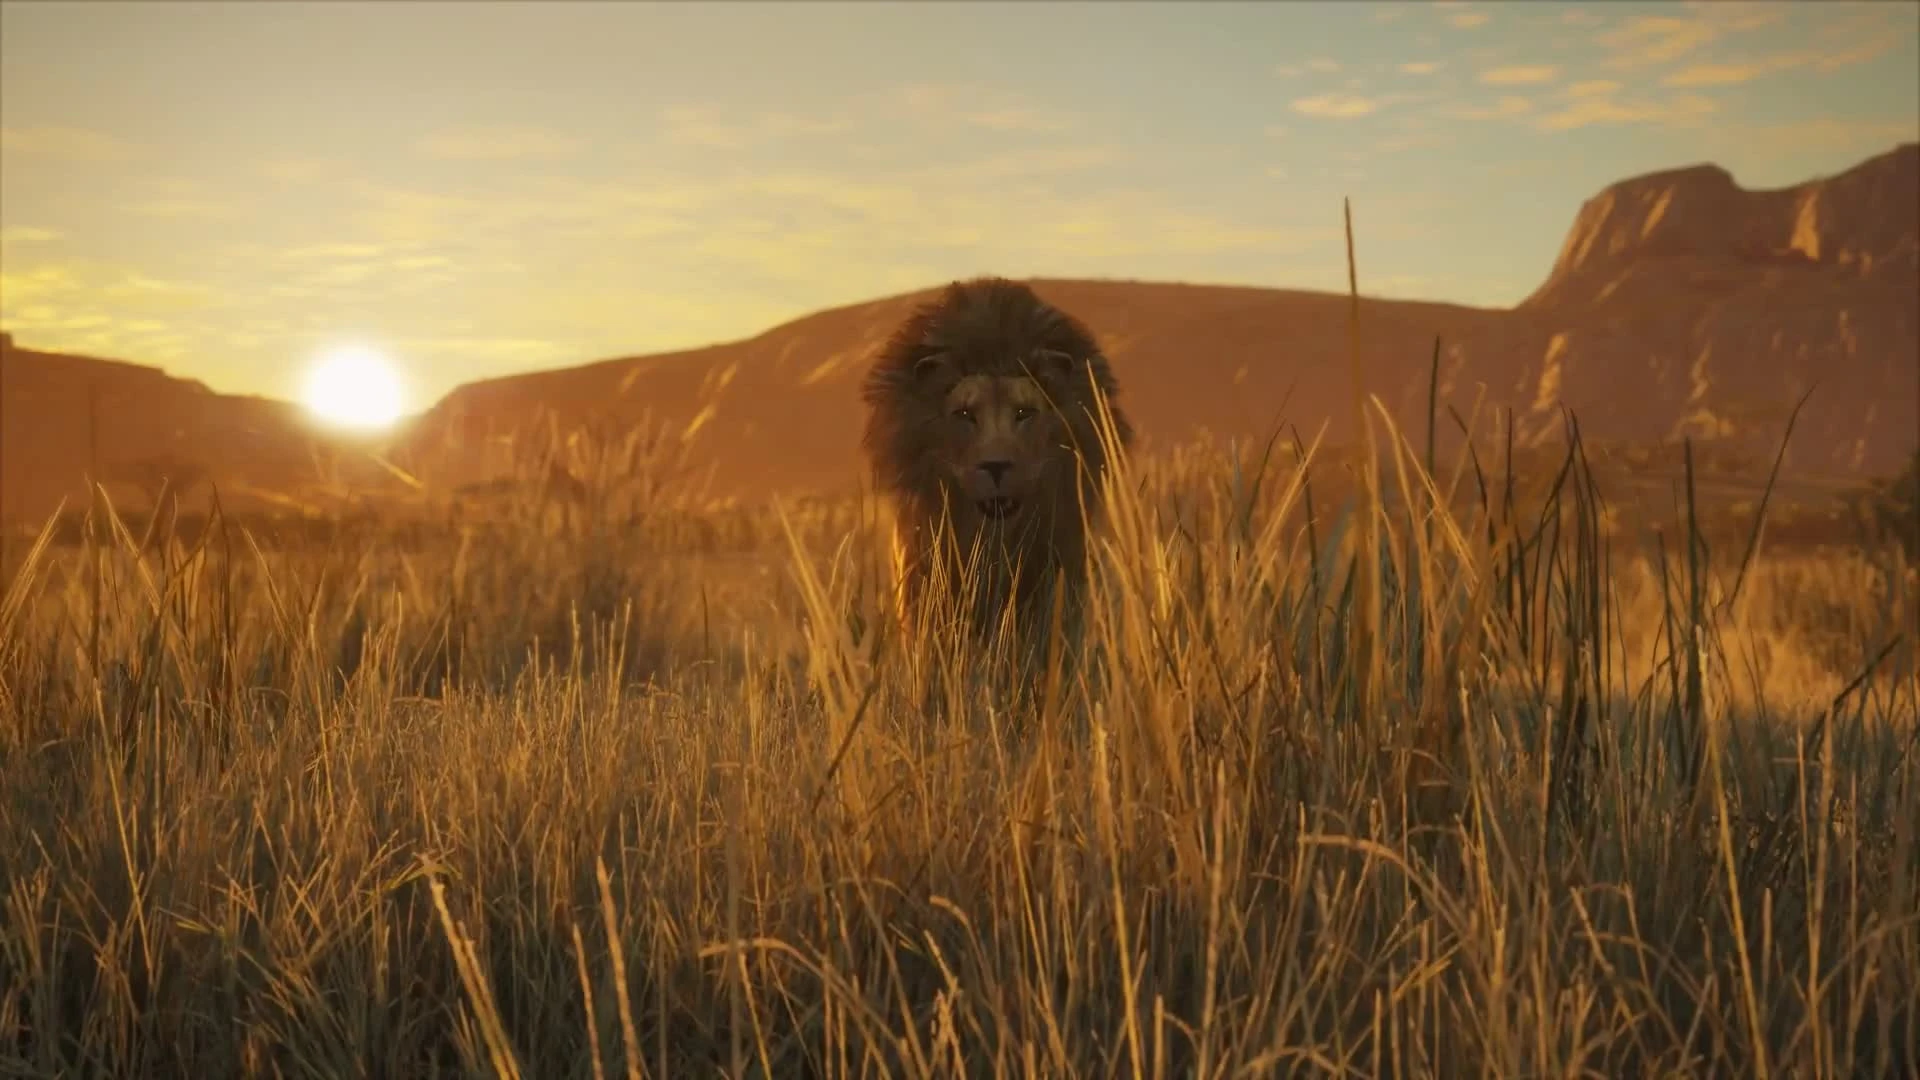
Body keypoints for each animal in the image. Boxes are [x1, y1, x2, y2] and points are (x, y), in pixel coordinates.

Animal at [859, 277, 1133, 656]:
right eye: (964, 414)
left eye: (1024, 413)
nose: (996, 466)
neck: (995, 540)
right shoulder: (922, 580)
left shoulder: (1058, 577)